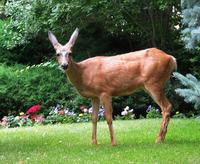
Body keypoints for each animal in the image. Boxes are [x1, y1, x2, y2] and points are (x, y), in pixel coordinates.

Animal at [48, 28, 177, 145]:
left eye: (70, 53)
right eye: (57, 54)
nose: (64, 65)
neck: (83, 73)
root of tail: (171, 58)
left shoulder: (104, 91)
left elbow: (109, 117)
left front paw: (113, 142)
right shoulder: (94, 96)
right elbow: (93, 118)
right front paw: (94, 142)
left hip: (154, 83)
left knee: (167, 107)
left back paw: (159, 139)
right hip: (152, 85)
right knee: (167, 107)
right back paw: (162, 138)